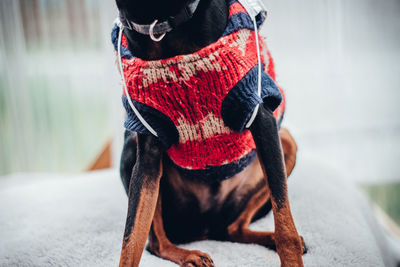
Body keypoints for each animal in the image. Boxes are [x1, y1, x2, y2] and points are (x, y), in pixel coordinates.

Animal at [111, 0, 304, 267]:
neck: (163, 25)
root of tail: (205, 228)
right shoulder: (146, 138)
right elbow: (131, 240)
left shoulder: (258, 111)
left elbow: (286, 226)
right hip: (132, 147)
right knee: (157, 242)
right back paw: (189, 255)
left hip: (285, 141)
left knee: (234, 228)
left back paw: (269, 238)